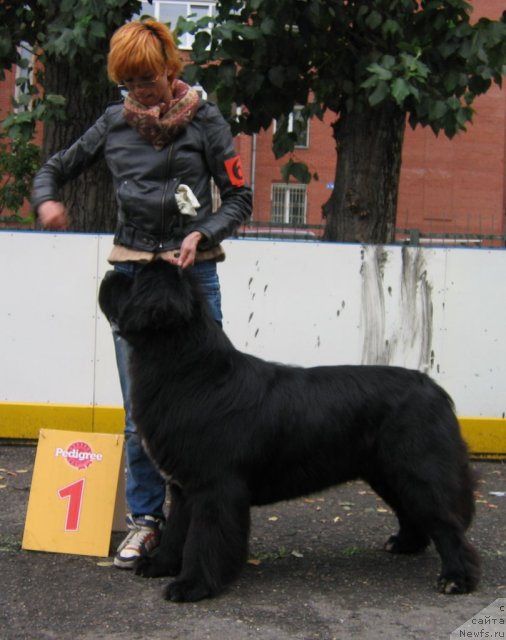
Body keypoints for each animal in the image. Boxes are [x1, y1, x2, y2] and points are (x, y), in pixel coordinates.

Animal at [98, 260, 478, 600]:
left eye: (137, 278)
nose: (109, 274)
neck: (190, 374)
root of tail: (435, 389)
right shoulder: (184, 487)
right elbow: (178, 531)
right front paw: (159, 565)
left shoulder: (213, 487)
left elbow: (203, 538)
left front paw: (192, 586)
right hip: (386, 472)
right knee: (412, 512)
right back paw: (405, 544)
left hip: (417, 469)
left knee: (445, 523)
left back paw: (456, 578)